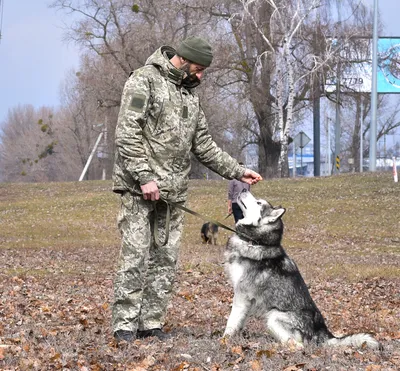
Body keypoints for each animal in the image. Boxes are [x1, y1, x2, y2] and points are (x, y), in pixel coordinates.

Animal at [223, 190, 380, 350]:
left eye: (259, 202)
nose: (243, 190)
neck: (256, 242)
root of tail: (322, 332)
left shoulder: (241, 295)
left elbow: (231, 322)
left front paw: (224, 340)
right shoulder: (246, 301)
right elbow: (239, 322)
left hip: (274, 317)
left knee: (298, 346)